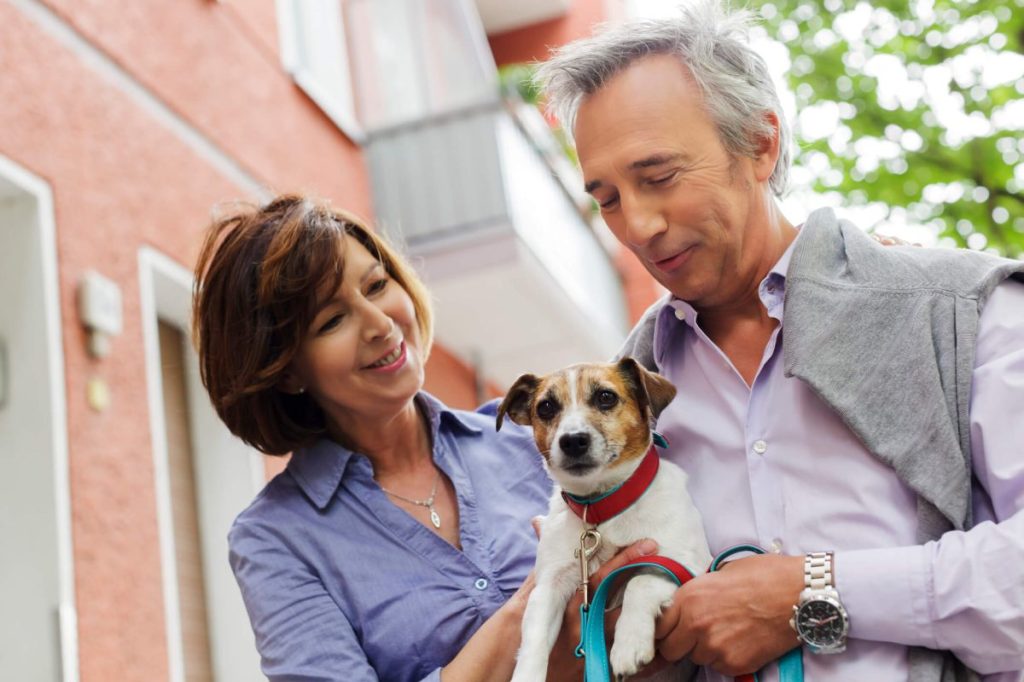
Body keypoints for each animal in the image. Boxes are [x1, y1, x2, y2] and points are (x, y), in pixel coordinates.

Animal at [497, 358, 712, 675]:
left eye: (606, 397)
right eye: (546, 407)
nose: (573, 441)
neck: (601, 509)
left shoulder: (688, 564)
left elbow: (641, 580)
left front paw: (629, 643)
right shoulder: (548, 587)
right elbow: (533, 643)